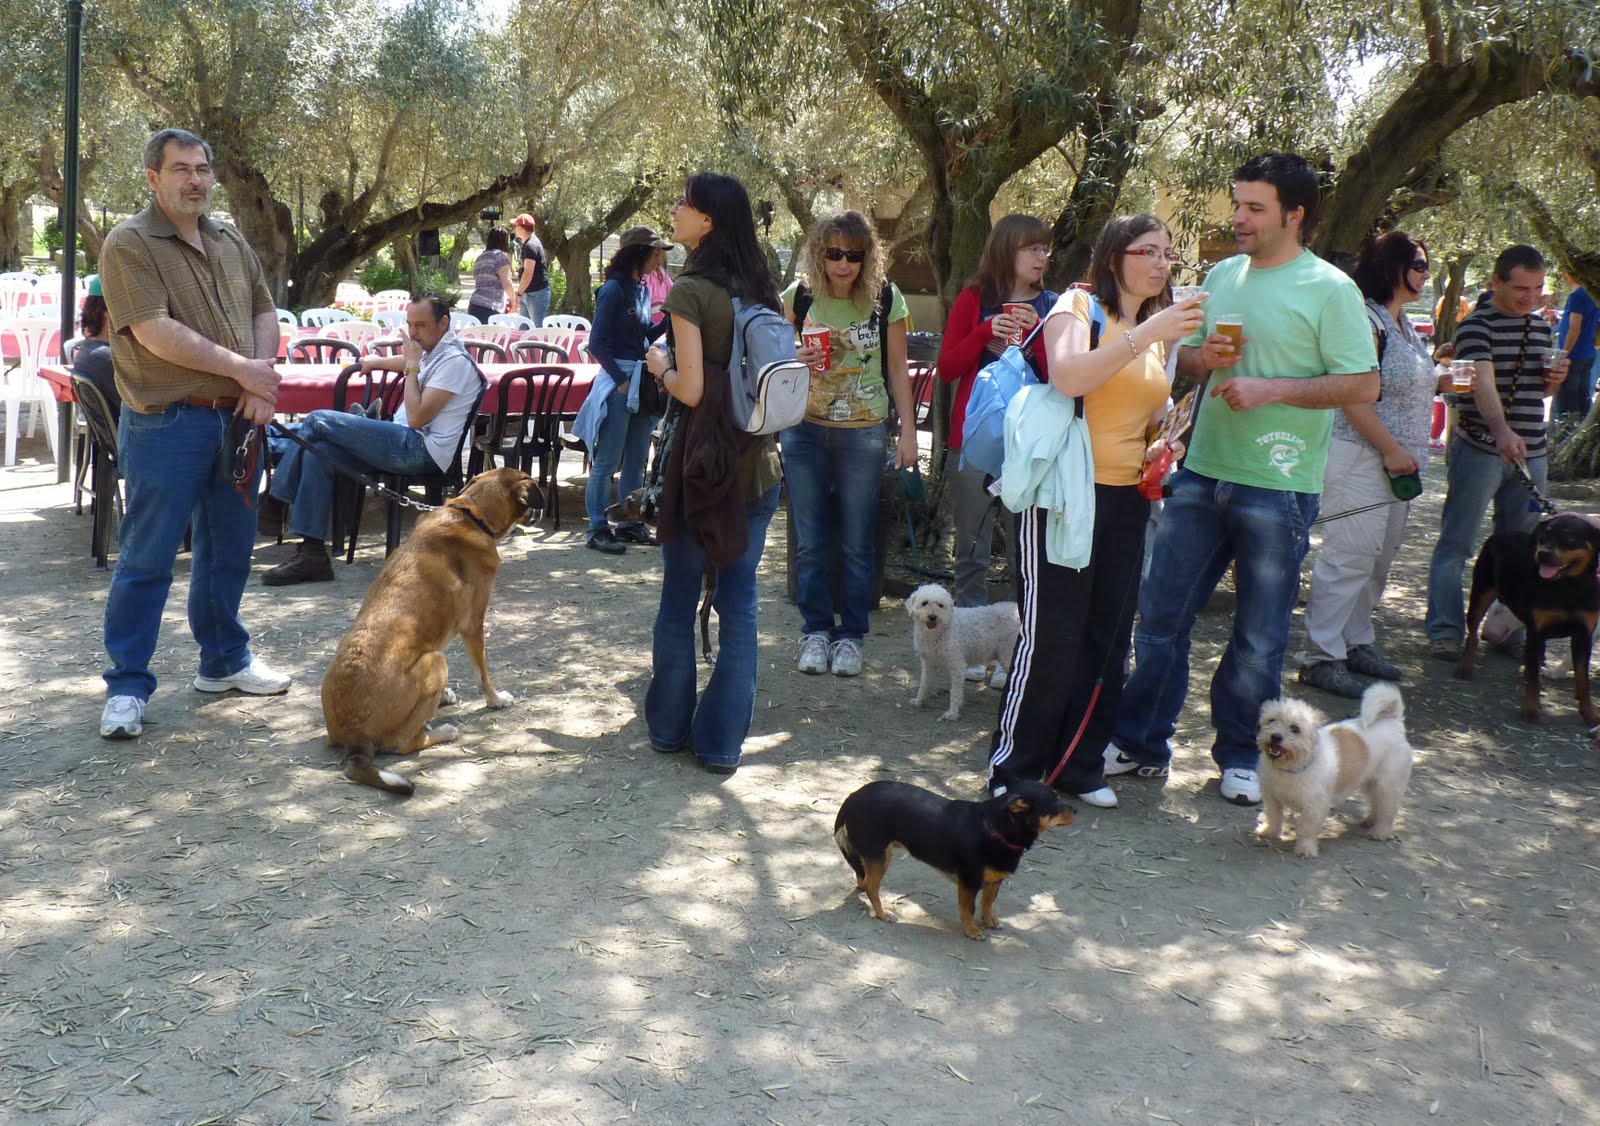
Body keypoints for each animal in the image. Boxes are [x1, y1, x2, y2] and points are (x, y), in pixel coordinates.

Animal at [321, 467, 542, 796]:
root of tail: (355, 739)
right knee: (403, 744)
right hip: (436, 661)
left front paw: (446, 695)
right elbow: (483, 673)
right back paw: (443, 731)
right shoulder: (473, 624)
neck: (470, 514)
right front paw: (495, 700)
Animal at [834, 779, 1074, 940]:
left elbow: (988, 904)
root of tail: (852, 797)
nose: (1076, 810)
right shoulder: (969, 883)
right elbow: (969, 909)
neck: (996, 828)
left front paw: (989, 921)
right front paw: (972, 931)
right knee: (871, 887)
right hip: (880, 858)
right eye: (1055, 805)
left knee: (863, 879)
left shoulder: (994, 881)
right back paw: (882, 914)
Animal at [904, 584, 1019, 720]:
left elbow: (955, 692)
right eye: (924, 603)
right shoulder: (928, 664)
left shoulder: (957, 665)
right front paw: (919, 701)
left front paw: (953, 713)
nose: (933, 617)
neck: (940, 630)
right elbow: (924, 684)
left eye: (940, 605)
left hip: (1008, 656)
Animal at [1256, 683, 1413, 859]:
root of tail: (1393, 722)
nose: (1275, 736)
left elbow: (1306, 830)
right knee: (1376, 802)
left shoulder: (1314, 808)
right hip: (1370, 783)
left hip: (1387, 786)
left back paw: (1380, 832)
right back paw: (1370, 820)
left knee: (1388, 809)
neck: (1289, 768)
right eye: (1271, 720)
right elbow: (1274, 817)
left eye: (1295, 728)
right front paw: (1270, 832)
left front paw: (1305, 848)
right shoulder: (1272, 799)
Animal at [1455, 514, 1600, 726]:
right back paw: (1465, 666)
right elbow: (1533, 677)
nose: (1543, 553)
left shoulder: (1582, 637)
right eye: (1544, 536)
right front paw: (1530, 708)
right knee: (1472, 634)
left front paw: (1589, 713)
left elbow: (1582, 679)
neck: (1568, 586)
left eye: (1570, 538)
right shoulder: (1536, 633)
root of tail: (1502, 534)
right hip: (1481, 593)